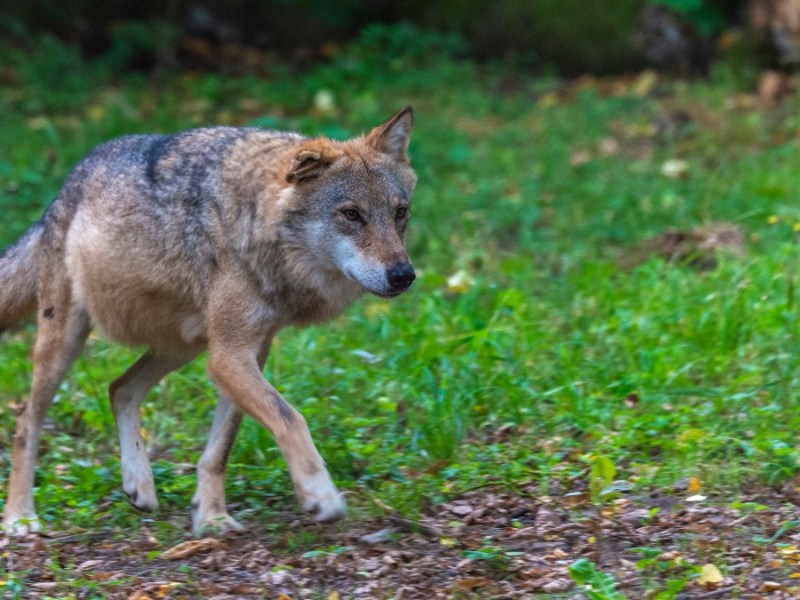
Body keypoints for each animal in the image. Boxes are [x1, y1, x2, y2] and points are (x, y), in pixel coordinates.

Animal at [0, 106, 416, 536]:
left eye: (400, 213)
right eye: (351, 214)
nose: (404, 275)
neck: (255, 225)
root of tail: (64, 191)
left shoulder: (248, 354)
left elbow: (220, 450)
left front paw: (212, 517)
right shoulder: (229, 358)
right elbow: (292, 418)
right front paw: (321, 495)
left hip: (183, 346)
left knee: (120, 389)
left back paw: (139, 484)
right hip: (66, 343)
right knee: (25, 422)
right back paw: (20, 517)